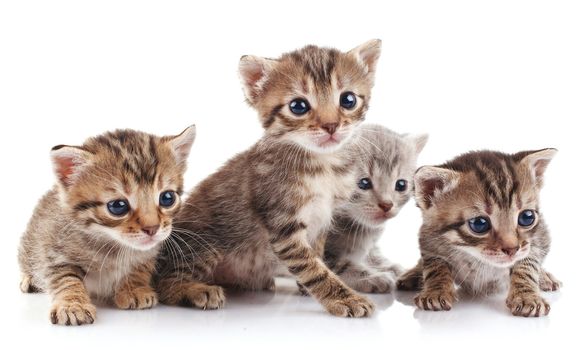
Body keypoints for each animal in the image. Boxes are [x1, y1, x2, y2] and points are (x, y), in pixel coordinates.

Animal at [17, 124, 196, 324]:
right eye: (118, 206)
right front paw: (73, 305)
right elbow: (65, 278)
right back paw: (29, 279)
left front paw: (134, 289)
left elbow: (140, 266)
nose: (152, 228)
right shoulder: (55, 252)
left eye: (167, 198)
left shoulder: (150, 251)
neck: (113, 245)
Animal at [155, 40, 384, 318]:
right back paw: (196, 290)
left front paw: (309, 288)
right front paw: (343, 297)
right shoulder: (283, 226)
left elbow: (316, 255)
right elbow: (312, 268)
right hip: (206, 243)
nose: (331, 126)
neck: (323, 165)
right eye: (298, 106)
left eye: (348, 100)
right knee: (166, 282)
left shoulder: (322, 219)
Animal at [324, 124, 428, 294]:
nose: (387, 205)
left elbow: (372, 254)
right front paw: (370, 277)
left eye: (401, 185)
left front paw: (392, 267)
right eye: (364, 183)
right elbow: (336, 266)